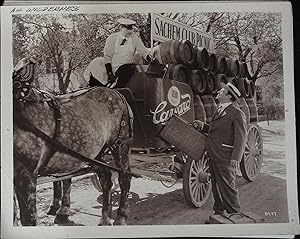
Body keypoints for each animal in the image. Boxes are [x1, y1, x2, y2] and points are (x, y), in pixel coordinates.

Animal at [12, 57, 134, 225]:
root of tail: (117, 93)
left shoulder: (25, 173)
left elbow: (28, 218)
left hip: (120, 146)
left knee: (124, 178)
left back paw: (120, 216)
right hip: (95, 153)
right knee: (106, 178)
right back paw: (104, 217)